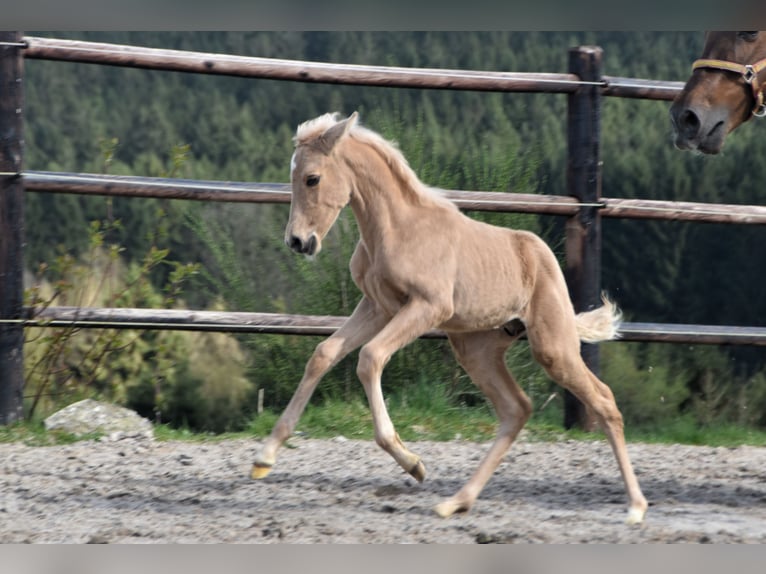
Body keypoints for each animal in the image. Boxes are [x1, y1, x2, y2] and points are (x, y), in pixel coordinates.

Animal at [252, 112, 648, 528]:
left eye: (312, 178)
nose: (298, 241)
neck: (396, 228)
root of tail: (543, 258)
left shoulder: (427, 307)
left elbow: (370, 358)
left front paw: (412, 463)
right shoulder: (377, 306)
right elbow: (324, 354)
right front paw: (265, 457)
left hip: (553, 348)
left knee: (602, 400)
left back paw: (636, 506)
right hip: (476, 349)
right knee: (516, 409)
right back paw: (456, 502)